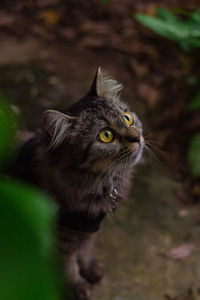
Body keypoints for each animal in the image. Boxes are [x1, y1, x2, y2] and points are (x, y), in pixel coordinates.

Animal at [9, 68, 144, 300]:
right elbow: (69, 266)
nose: (137, 138)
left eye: (127, 118)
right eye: (106, 135)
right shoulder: (60, 237)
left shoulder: (87, 227)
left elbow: (85, 251)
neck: (103, 181)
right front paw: (78, 287)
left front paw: (90, 269)